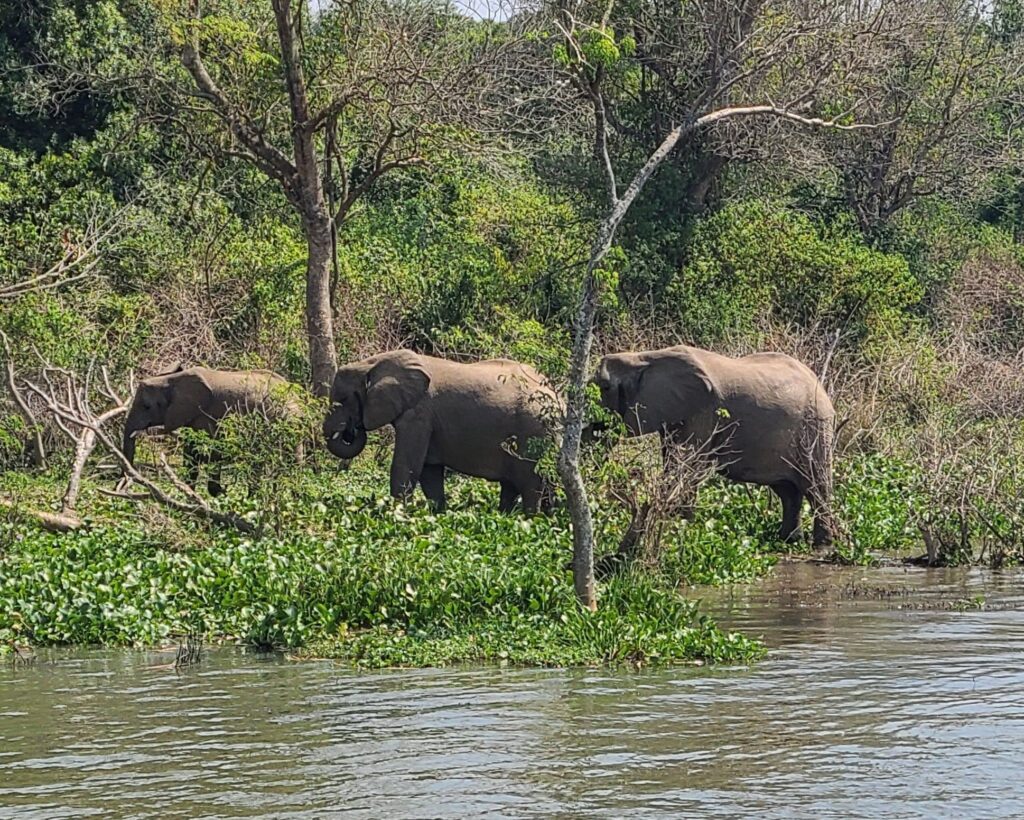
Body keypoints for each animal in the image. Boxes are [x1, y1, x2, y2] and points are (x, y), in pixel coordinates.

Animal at [122, 365, 299, 495]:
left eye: (147, 406)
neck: (170, 381)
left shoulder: (205, 413)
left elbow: (212, 448)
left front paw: (218, 493)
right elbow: (191, 450)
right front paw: (190, 493)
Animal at [323, 350, 560, 512]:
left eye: (344, 400)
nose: (351, 429)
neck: (372, 363)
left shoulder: (418, 415)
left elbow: (407, 466)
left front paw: (398, 513)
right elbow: (430, 473)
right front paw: (436, 514)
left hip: (532, 434)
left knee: (530, 484)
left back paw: (531, 518)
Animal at [593, 344, 836, 547]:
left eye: (605, 387)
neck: (642, 358)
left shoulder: (703, 411)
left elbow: (687, 467)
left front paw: (681, 528)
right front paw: (681, 527)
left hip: (815, 428)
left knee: (815, 487)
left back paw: (823, 545)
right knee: (788, 491)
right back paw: (788, 540)